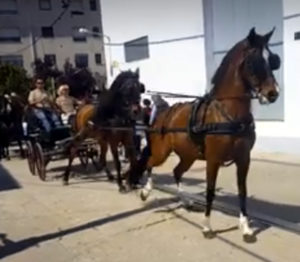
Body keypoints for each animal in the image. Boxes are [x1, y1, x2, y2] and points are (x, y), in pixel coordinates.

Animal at [134, 27, 282, 241]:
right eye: (252, 62)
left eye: (273, 61)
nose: (273, 93)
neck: (227, 114)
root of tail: (162, 114)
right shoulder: (213, 160)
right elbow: (210, 191)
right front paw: (207, 227)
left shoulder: (243, 159)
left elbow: (242, 191)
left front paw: (246, 228)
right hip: (162, 152)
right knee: (150, 163)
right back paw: (146, 191)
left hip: (188, 155)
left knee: (176, 172)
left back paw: (185, 201)